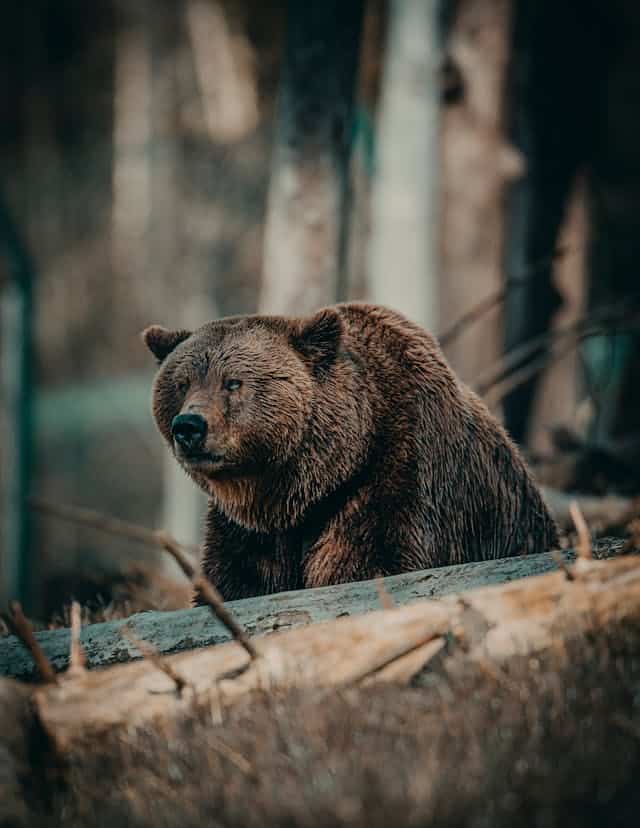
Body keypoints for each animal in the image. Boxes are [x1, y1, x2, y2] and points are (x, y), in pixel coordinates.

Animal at [142, 300, 556, 600]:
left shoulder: (396, 478)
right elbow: (233, 582)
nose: (189, 427)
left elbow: (370, 562)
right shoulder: (249, 532)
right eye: (181, 383)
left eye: (233, 382)